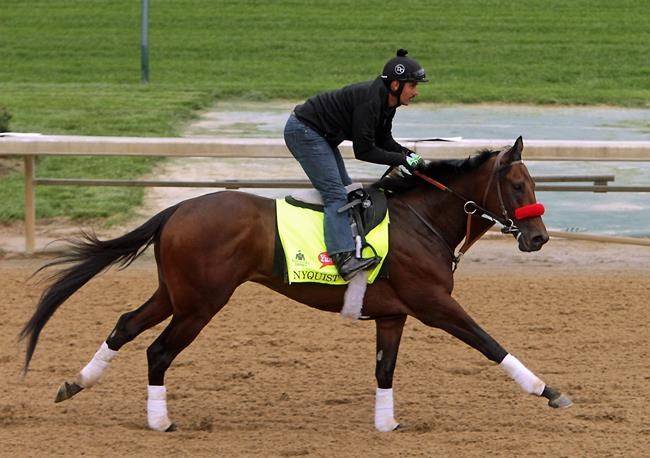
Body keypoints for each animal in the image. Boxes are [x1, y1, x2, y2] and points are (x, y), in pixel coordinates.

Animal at [20, 136, 568, 432]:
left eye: (533, 184)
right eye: (517, 185)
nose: (539, 237)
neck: (422, 221)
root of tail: (176, 208)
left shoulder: (393, 314)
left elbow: (384, 369)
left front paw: (387, 423)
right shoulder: (433, 304)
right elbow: (489, 343)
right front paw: (548, 390)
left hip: (174, 292)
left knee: (125, 325)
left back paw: (75, 383)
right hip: (201, 302)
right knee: (157, 351)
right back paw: (160, 420)